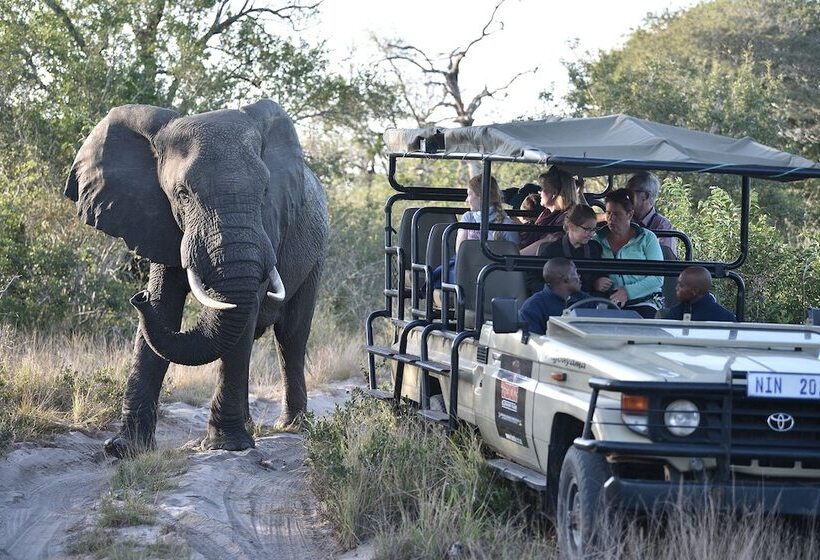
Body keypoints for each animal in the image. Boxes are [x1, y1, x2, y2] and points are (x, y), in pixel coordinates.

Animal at [65, 99, 329, 457]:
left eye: (264, 191)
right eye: (183, 194)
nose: (137, 297)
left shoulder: (269, 227)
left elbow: (243, 311)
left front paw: (227, 446)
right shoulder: (158, 219)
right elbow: (164, 308)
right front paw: (123, 449)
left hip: (317, 253)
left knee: (291, 336)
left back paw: (291, 426)